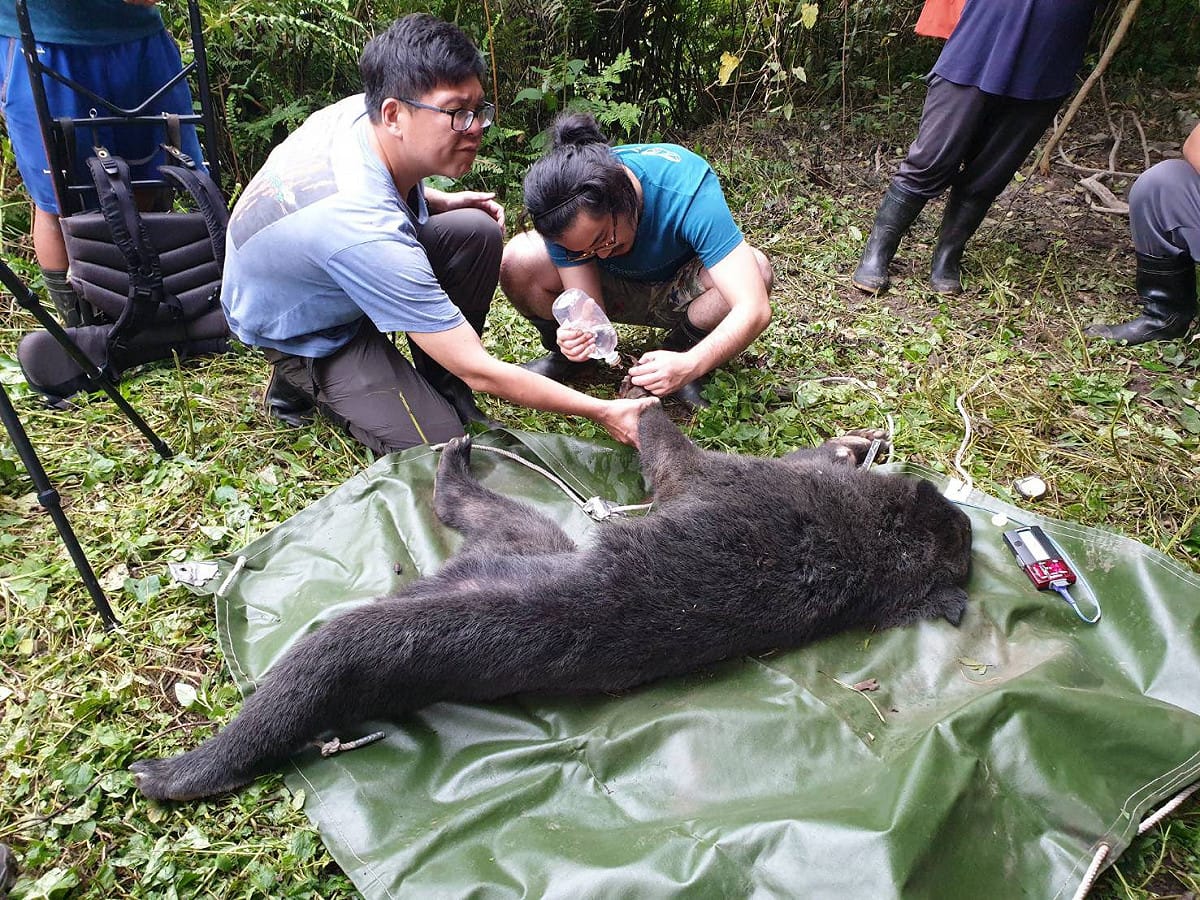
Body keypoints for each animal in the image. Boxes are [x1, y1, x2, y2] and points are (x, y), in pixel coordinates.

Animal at [132, 403, 972, 801]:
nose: (964, 525)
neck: (863, 551)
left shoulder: (722, 478)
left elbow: (673, 450)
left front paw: (641, 401)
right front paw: (851, 443)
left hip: (498, 557)